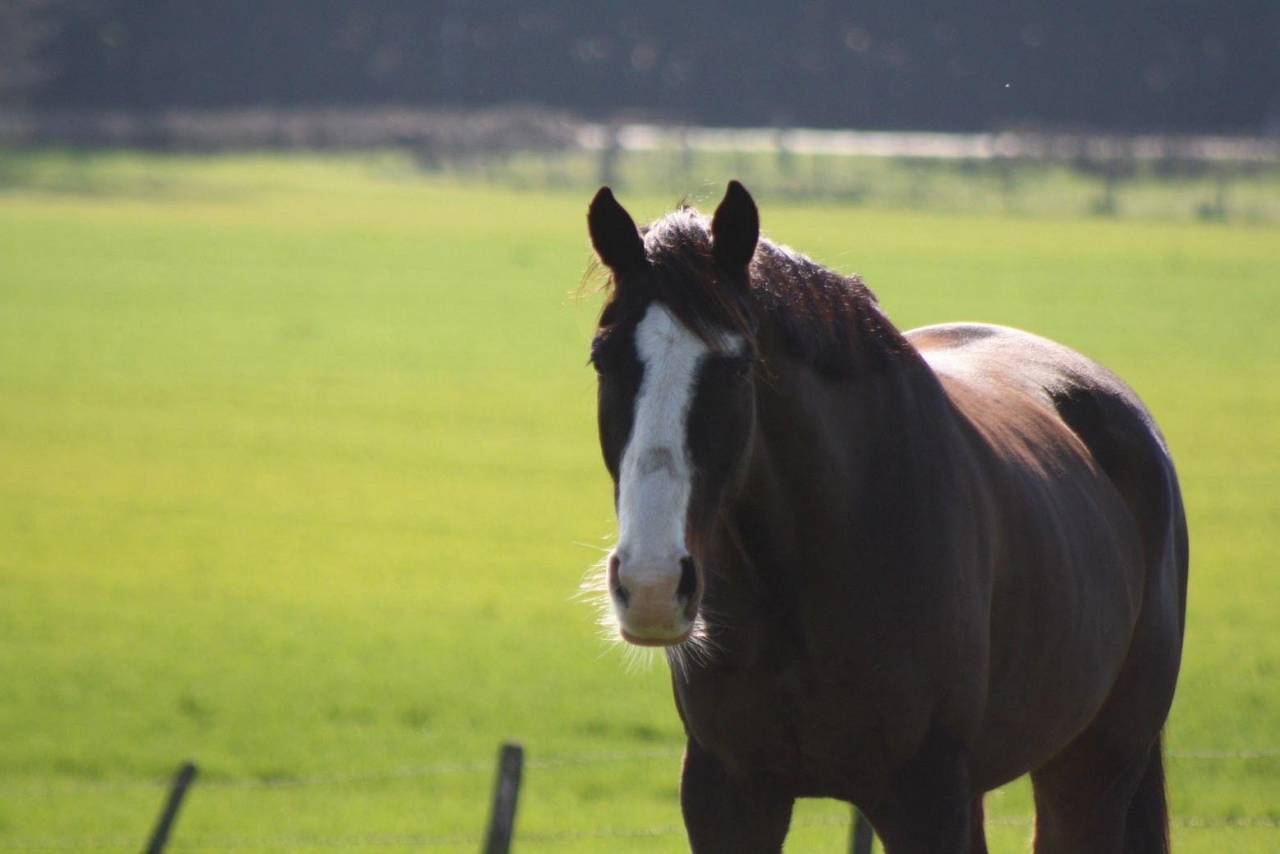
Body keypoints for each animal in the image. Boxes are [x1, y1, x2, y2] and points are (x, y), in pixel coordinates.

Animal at [582, 181, 1188, 854]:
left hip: (1092, 769)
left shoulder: (924, 797)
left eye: (739, 366)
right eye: (603, 361)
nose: (653, 586)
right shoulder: (728, 794)